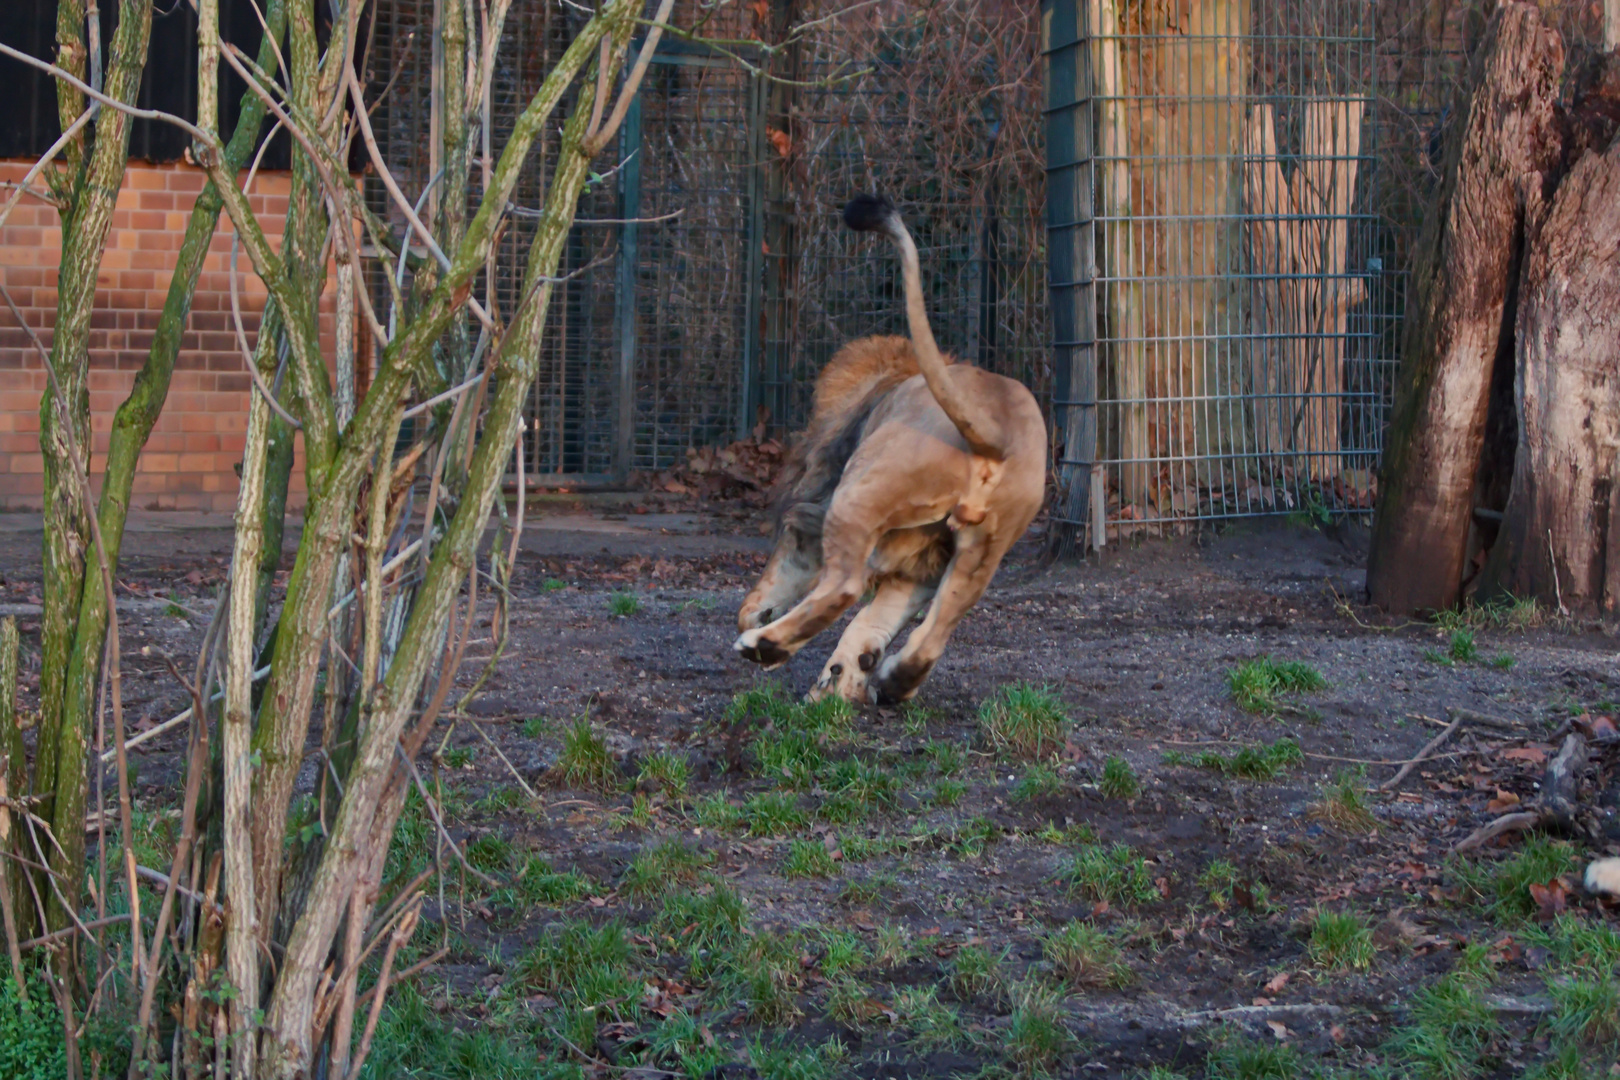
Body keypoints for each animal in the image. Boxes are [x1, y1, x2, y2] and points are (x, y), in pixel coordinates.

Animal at [738, 195, 1049, 705]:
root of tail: (994, 431)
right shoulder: (915, 572)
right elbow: (872, 625)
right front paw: (844, 679)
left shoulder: (807, 516)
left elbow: (784, 572)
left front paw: (756, 619)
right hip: (980, 554)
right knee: (932, 636)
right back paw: (892, 680)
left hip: (858, 494)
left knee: (843, 587)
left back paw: (762, 645)